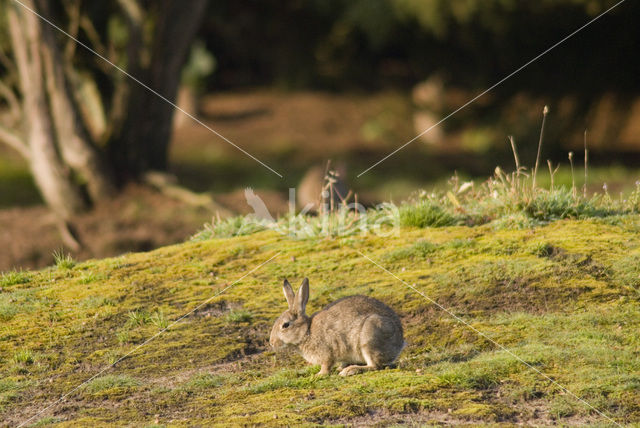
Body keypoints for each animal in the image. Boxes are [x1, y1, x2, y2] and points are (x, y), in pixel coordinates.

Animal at [270, 278, 404, 374]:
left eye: (285, 325)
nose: (272, 343)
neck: (306, 332)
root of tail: (399, 344)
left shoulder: (327, 352)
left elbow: (326, 365)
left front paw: (320, 374)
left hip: (370, 336)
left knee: (375, 366)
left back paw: (350, 370)